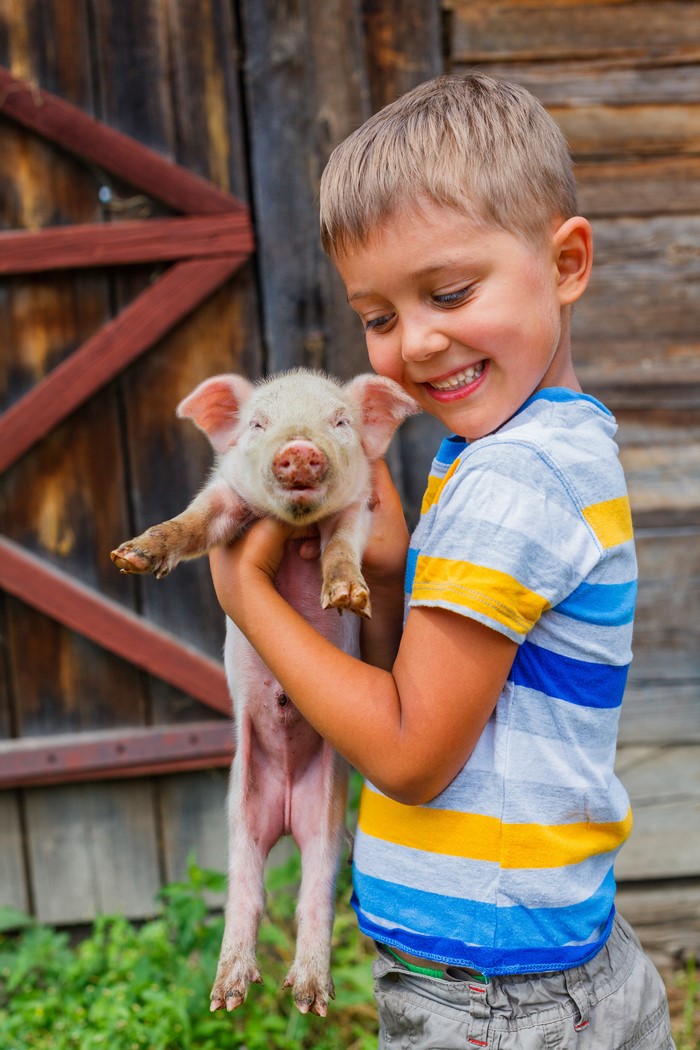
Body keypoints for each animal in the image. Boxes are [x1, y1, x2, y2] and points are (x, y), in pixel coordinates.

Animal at [110, 369, 418, 1016]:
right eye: (258, 423)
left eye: (339, 421)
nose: (298, 448)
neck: (297, 525)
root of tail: (284, 816)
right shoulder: (224, 493)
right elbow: (193, 522)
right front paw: (131, 557)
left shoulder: (356, 512)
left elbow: (340, 548)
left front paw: (347, 597)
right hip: (241, 813)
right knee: (246, 893)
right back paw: (227, 996)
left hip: (327, 817)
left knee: (312, 897)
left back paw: (307, 998)